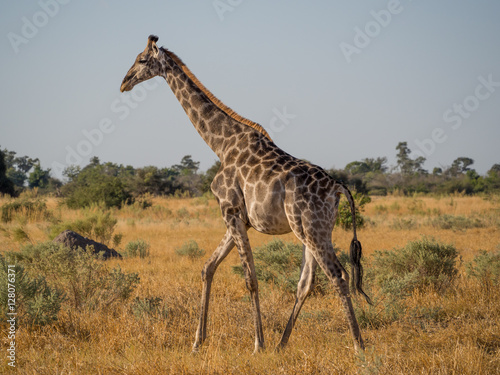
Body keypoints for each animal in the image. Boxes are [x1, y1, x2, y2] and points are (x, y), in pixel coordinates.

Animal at [121, 35, 372, 356]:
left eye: (141, 60)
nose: (124, 83)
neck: (220, 144)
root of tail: (338, 188)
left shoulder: (230, 210)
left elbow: (250, 278)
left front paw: (256, 344)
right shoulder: (240, 217)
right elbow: (207, 267)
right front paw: (197, 342)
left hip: (311, 229)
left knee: (337, 276)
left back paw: (358, 347)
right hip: (312, 230)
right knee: (307, 282)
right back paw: (281, 344)